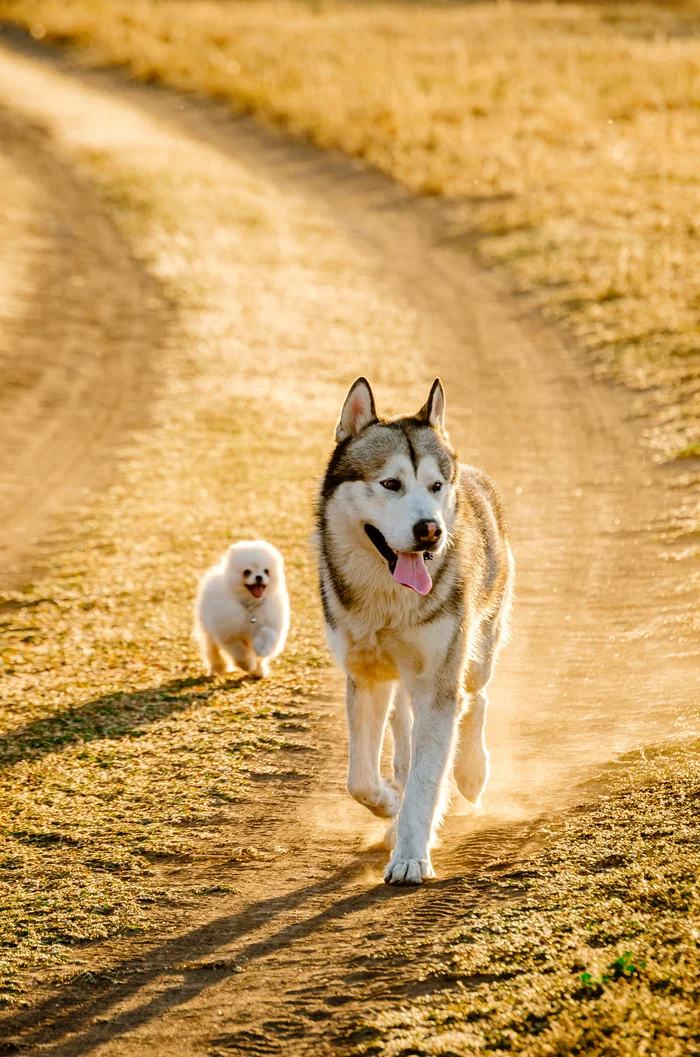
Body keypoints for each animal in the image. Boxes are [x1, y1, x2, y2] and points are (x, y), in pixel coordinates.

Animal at [193, 541, 289, 680]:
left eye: (266, 571)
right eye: (247, 571)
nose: (259, 577)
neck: (250, 606)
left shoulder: (270, 623)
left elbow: (266, 635)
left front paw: (261, 649)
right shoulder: (229, 634)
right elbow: (239, 652)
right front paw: (247, 665)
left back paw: (259, 671)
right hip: (208, 631)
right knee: (213, 650)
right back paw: (219, 668)